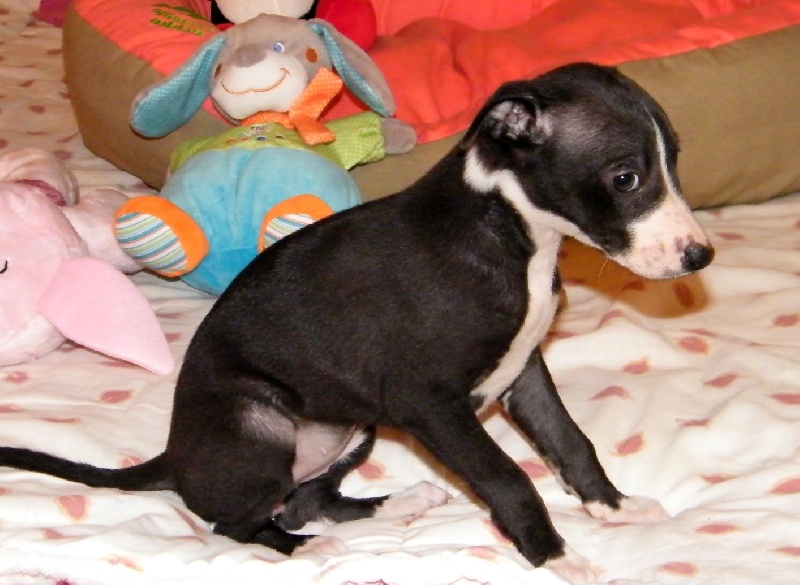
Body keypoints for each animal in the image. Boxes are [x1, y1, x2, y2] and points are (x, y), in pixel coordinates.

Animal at [0, 63, 713, 583]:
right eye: (626, 177)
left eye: (675, 161)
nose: (700, 257)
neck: (507, 229)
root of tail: (175, 458)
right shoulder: (432, 403)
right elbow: (510, 479)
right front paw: (557, 555)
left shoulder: (523, 374)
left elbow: (571, 443)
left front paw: (612, 506)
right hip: (258, 423)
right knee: (241, 522)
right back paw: (303, 548)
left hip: (352, 427)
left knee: (311, 497)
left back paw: (401, 502)